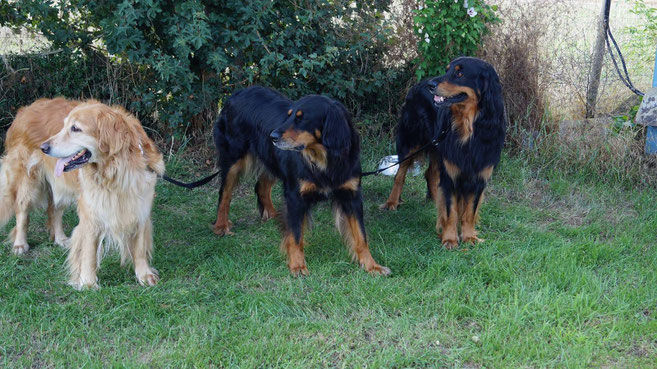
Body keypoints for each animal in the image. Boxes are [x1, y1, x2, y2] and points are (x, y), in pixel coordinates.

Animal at [211, 86, 390, 274]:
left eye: (301, 118)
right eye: (289, 115)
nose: (272, 136)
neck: (324, 158)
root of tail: (236, 93)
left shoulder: (352, 194)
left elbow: (361, 235)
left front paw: (372, 265)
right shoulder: (295, 196)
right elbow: (295, 235)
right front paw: (297, 265)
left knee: (261, 186)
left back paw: (274, 215)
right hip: (233, 159)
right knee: (225, 194)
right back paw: (221, 226)